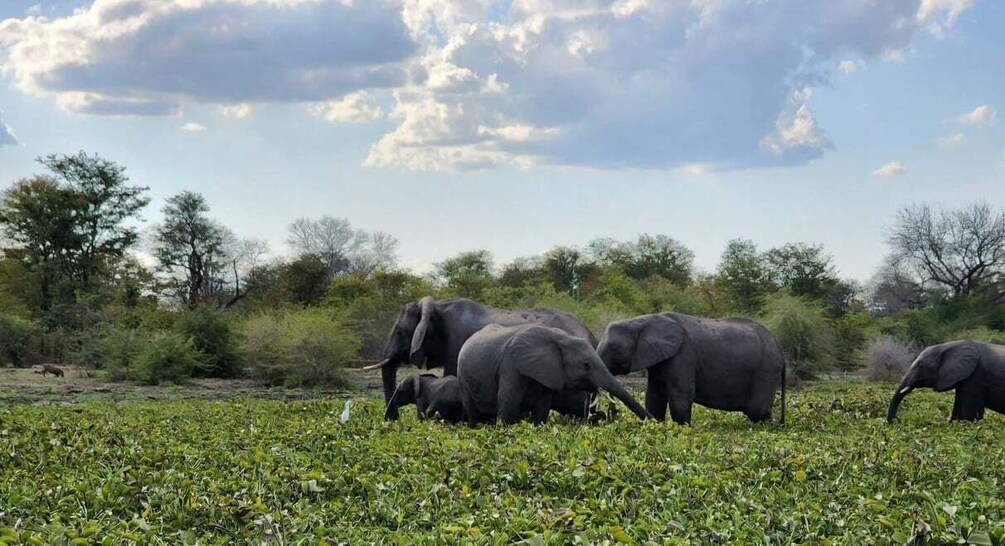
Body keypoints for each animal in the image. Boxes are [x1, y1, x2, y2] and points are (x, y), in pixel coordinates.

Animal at [456, 324, 651, 425]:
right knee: (472, 411)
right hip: (462, 378)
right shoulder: (510, 365)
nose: (653, 424)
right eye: (586, 365)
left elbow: (542, 408)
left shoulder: (548, 373)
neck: (559, 338)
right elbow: (508, 404)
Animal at [597, 312, 786, 425]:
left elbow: (681, 394)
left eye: (613, 348)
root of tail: (780, 349)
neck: (642, 321)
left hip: (767, 369)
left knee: (757, 411)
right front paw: (658, 424)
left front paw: (683, 427)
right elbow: (655, 395)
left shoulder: (682, 355)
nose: (610, 415)